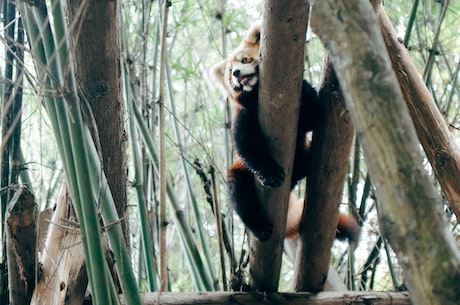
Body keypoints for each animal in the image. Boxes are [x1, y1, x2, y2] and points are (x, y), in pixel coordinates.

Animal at [212, 21, 360, 241]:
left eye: (244, 59)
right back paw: (259, 226)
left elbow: (314, 115)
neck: (255, 94)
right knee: (239, 192)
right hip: (240, 173)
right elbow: (247, 144)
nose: (237, 73)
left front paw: (304, 84)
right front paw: (269, 173)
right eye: (230, 73)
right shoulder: (244, 115)